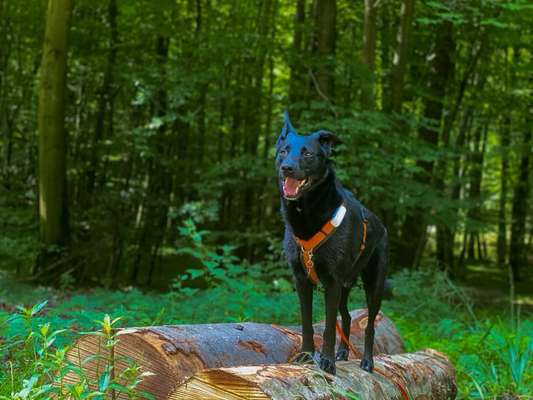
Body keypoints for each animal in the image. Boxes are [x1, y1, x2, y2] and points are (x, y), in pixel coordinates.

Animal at [274, 112, 386, 376]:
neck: (306, 212)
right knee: (346, 317)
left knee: (369, 326)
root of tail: (381, 223)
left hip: (373, 286)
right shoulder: (303, 281)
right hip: (345, 286)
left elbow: (326, 326)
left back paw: (367, 361)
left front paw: (326, 362)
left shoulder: (331, 282)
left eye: (307, 154)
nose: (286, 168)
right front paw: (307, 355)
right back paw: (343, 353)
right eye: (283, 151)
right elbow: (307, 322)